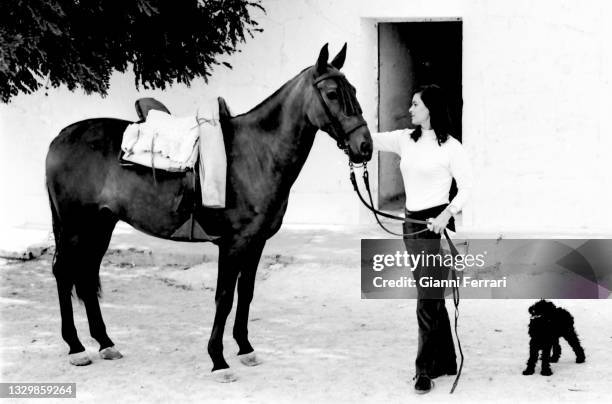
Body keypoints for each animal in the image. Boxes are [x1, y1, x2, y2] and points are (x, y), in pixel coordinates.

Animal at [44, 44, 372, 382]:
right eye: (332, 94)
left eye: (353, 91)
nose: (365, 146)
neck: (257, 154)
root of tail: (61, 137)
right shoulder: (232, 244)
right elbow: (224, 297)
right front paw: (219, 360)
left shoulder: (256, 243)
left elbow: (246, 293)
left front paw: (245, 348)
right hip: (75, 228)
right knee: (64, 273)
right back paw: (76, 347)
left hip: (100, 226)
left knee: (85, 276)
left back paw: (105, 343)